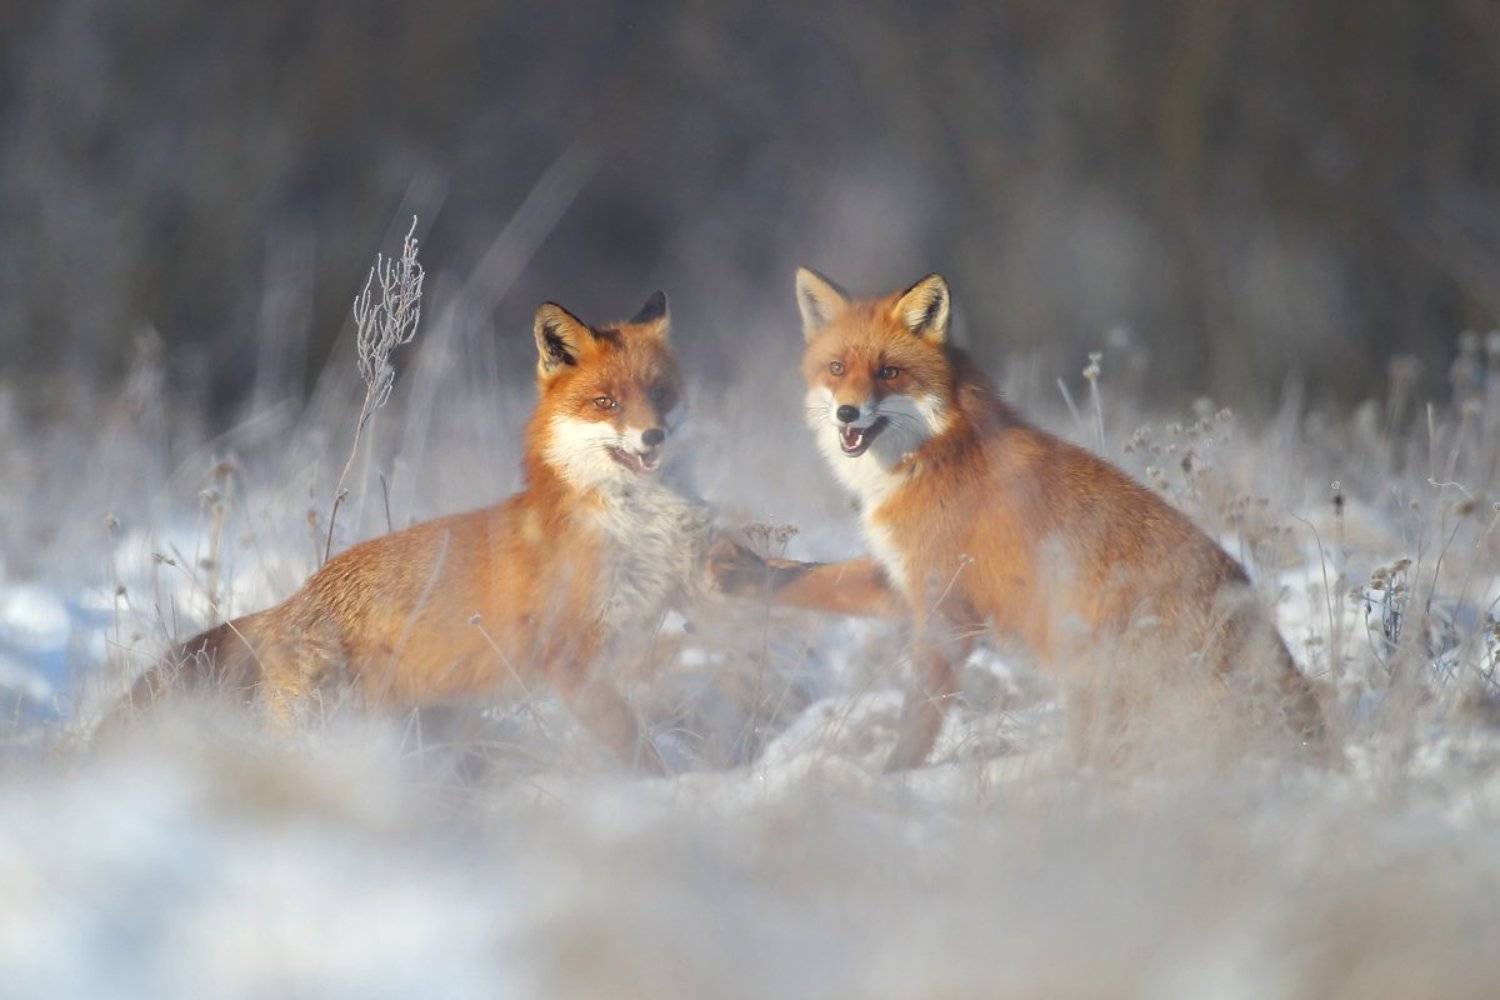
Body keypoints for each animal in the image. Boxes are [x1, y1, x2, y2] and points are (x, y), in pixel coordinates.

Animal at [118, 291, 713, 770]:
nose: (654, 436)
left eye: (660, 394)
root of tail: (293, 598)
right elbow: (636, 748)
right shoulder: (570, 662)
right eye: (606, 402)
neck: (621, 522)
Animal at [711, 268, 1327, 770]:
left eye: (889, 372)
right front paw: (734, 570)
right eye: (837, 369)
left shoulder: (948, 614)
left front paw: (892, 777)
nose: (847, 413)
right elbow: (813, 580)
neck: (935, 453)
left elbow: (919, 719)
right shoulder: (905, 581)